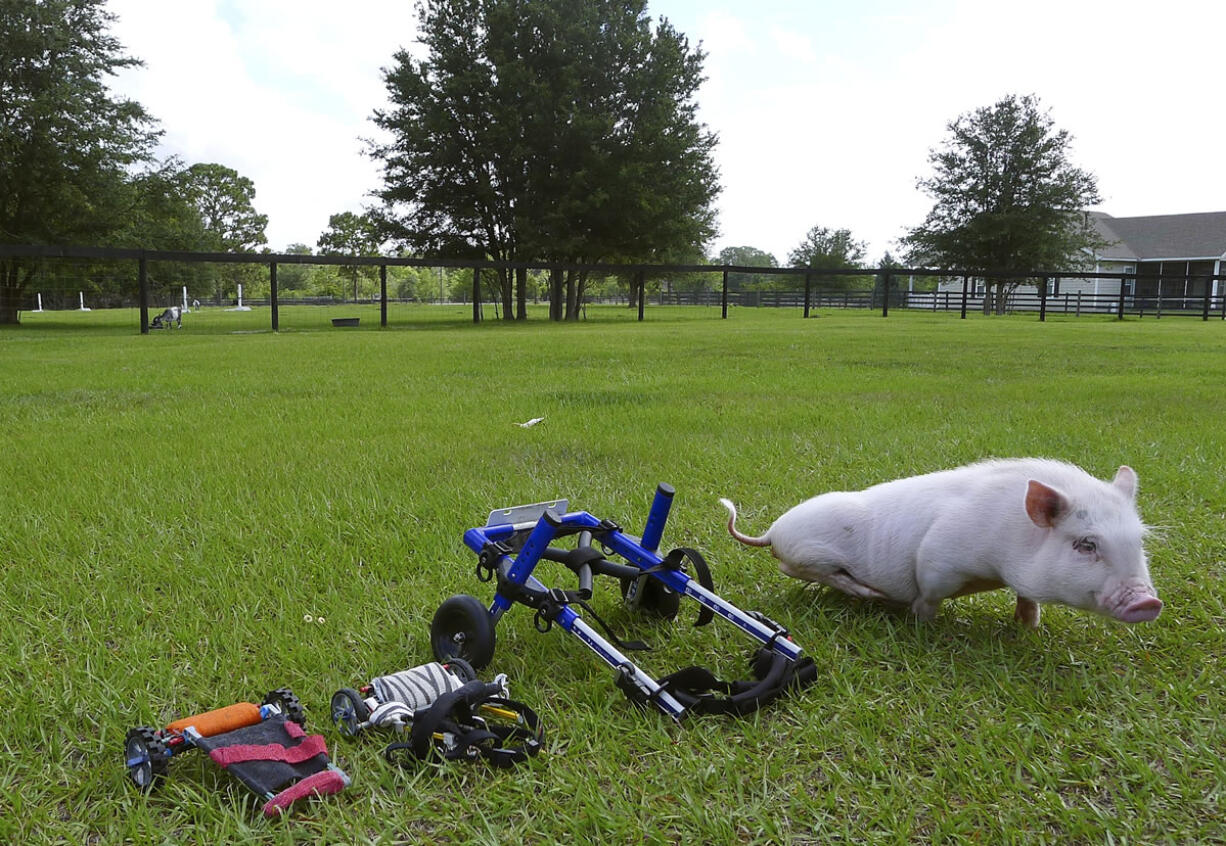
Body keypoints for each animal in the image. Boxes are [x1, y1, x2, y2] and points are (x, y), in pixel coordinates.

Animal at [720, 453, 1162, 625]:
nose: (1149, 601)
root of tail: (773, 531)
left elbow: (1027, 597)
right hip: (808, 555)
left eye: (1139, 541)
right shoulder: (937, 560)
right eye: (1086, 544)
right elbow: (928, 597)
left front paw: (1029, 627)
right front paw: (923, 623)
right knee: (803, 569)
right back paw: (872, 595)